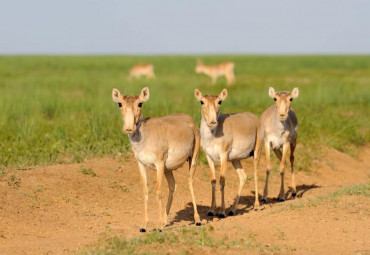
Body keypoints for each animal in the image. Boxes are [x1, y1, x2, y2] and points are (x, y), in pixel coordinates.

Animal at [112, 86, 201, 232]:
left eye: (140, 103)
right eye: (120, 103)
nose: (129, 128)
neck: (145, 137)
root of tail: (189, 119)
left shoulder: (159, 163)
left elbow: (158, 192)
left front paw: (158, 226)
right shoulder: (141, 164)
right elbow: (145, 191)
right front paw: (143, 226)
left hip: (193, 159)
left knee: (190, 182)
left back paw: (197, 220)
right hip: (168, 169)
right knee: (173, 185)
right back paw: (165, 221)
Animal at [194, 88, 264, 217]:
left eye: (219, 101)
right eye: (202, 101)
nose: (212, 122)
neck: (213, 135)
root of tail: (255, 118)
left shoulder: (224, 156)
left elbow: (222, 181)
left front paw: (222, 212)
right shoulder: (209, 157)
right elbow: (213, 181)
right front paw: (211, 210)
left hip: (256, 152)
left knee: (256, 174)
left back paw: (256, 205)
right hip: (235, 160)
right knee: (243, 176)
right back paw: (233, 209)